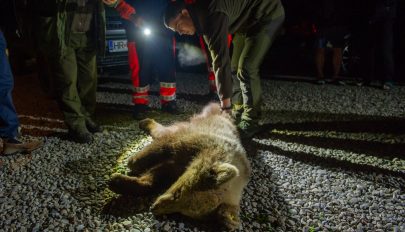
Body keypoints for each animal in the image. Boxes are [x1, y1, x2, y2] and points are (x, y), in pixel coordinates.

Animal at [109, 103, 251, 230]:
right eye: (178, 194)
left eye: (183, 212)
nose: (153, 208)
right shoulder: (193, 142)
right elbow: (163, 147)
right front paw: (133, 162)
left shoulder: (176, 166)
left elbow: (155, 176)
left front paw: (120, 182)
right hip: (193, 124)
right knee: (165, 132)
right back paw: (145, 122)